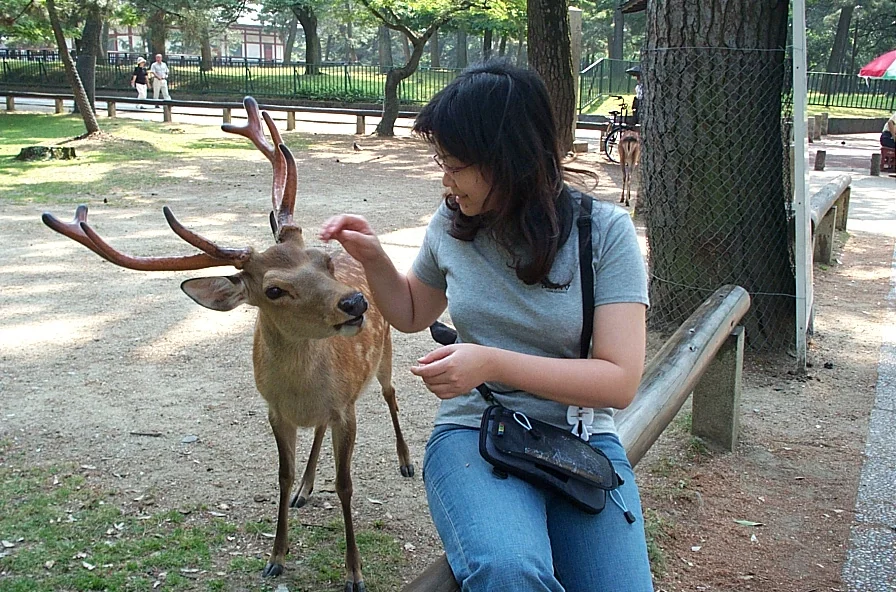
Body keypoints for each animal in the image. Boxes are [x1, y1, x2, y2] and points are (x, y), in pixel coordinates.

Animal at [41, 97, 414, 592]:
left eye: (323, 259)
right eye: (273, 289)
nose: (355, 303)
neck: (300, 394)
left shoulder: (344, 408)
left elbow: (346, 484)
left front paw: (354, 572)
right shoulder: (276, 411)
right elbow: (281, 476)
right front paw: (276, 555)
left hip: (385, 357)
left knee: (391, 396)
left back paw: (406, 461)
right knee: (316, 436)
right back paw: (306, 489)